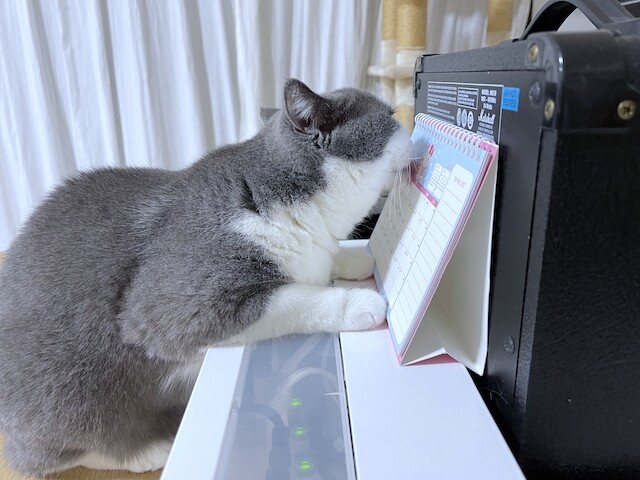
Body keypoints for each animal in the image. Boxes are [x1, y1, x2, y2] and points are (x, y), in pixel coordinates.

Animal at [0, 79, 411, 475]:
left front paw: (356, 261)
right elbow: (291, 298)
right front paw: (358, 303)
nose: (414, 131)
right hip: (71, 398)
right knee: (55, 453)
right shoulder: (172, 308)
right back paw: (147, 451)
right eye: (391, 115)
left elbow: (324, 261)